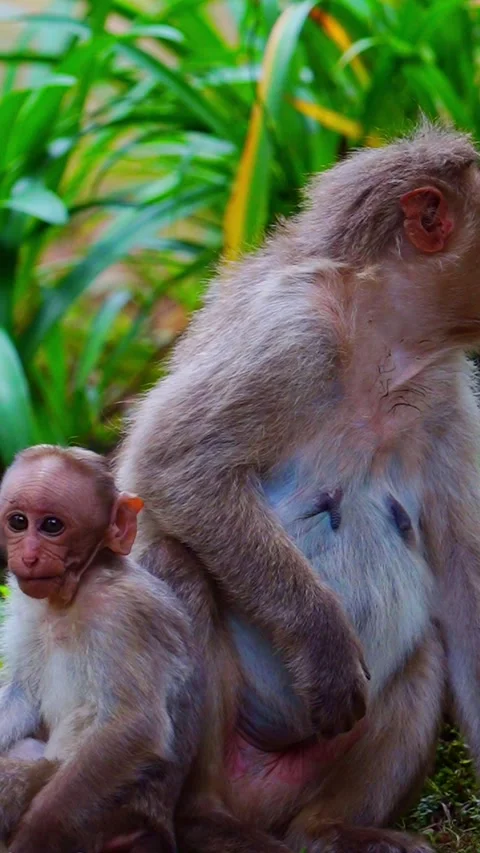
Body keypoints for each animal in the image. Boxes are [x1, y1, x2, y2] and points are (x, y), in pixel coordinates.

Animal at [0, 444, 204, 853]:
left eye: (51, 526)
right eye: (18, 522)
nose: (27, 556)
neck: (72, 595)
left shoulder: (124, 615)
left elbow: (136, 724)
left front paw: (34, 833)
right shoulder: (28, 605)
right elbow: (23, 696)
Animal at [114, 122, 480, 853]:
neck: (387, 343)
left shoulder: (449, 396)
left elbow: (463, 580)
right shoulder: (291, 335)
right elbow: (171, 464)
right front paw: (324, 643)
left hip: (301, 783)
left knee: (426, 646)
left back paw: (334, 830)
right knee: (175, 560)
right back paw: (201, 820)